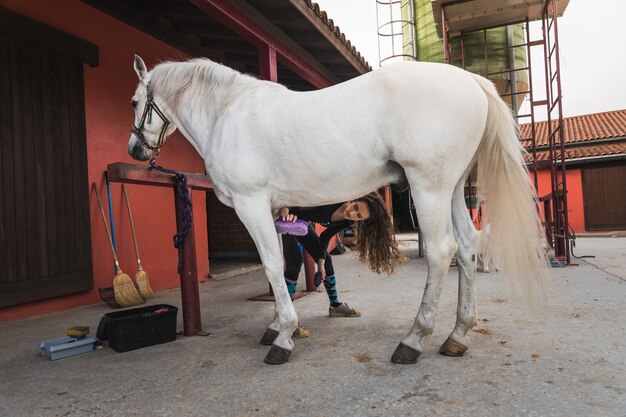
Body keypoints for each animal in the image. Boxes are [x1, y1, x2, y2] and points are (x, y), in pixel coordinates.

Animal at [129, 56, 548, 364]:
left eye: (134, 102)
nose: (135, 150)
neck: (227, 113)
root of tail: (470, 80)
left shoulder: (252, 205)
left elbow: (270, 265)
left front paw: (283, 337)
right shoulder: (276, 210)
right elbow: (284, 267)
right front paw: (278, 325)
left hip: (430, 187)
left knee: (442, 251)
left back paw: (413, 340)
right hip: (454, 188)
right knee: (467, 246)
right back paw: (457, 335)